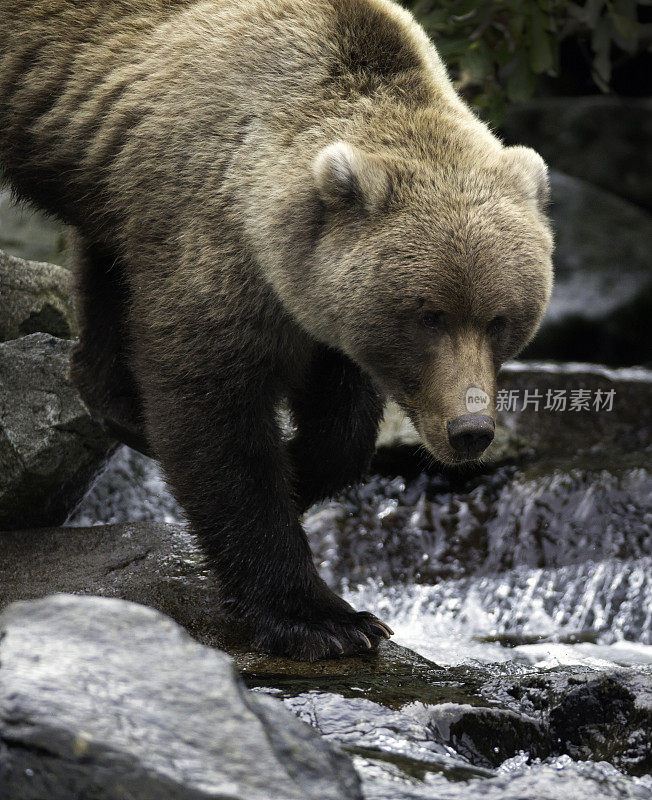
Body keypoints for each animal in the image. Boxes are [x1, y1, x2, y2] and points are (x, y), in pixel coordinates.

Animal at [0, 0, 552, 660]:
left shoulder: (307, 295)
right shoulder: (209, 230)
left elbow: (340, 422)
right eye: (428, 315)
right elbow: (216, 414)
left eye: (500, 319)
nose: (470, 430)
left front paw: (302, 468)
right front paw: (326, 619)